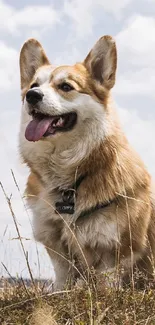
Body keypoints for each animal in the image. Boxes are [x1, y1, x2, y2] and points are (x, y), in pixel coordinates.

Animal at [19, 36, 155, 290]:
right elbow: (62, 286)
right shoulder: (58, 250)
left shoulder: (115, 253)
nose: (32, 95)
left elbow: (105, 290)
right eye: (33, 85)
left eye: (65, 87)